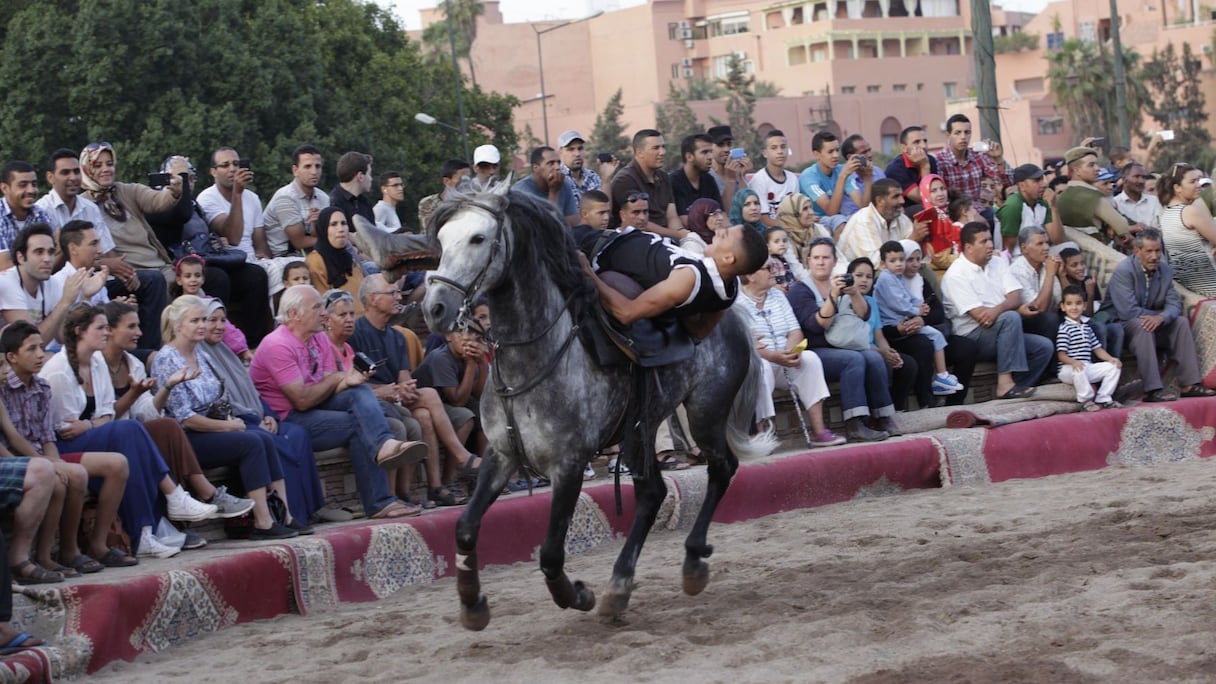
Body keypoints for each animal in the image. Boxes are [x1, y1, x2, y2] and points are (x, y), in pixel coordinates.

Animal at [413, 182, 768, 628]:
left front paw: (577, 594)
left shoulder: (568, 464)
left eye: (478, 238)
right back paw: (620, 585)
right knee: (652, 493)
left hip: (705, 413)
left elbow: (550, 552)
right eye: (443, 240)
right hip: (642, 427)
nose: (435, 308)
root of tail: (738, 320)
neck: (536, 357)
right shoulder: (502, 453)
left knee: (721, 469)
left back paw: (689, 563)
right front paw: (472, 603)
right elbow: (464, 526)